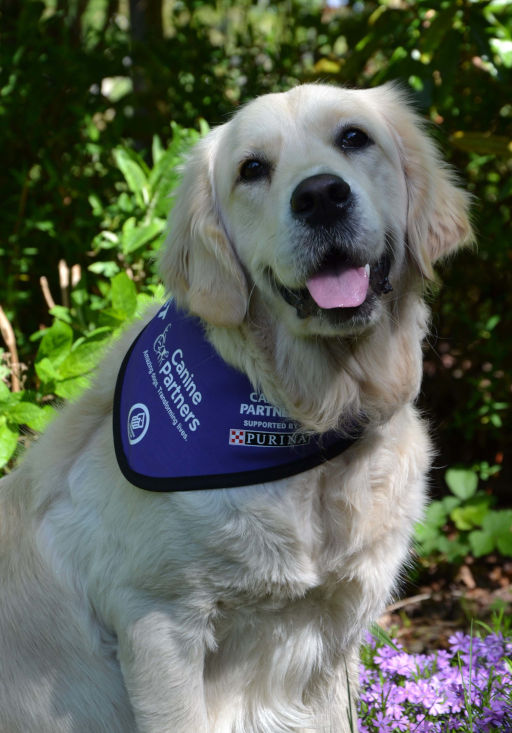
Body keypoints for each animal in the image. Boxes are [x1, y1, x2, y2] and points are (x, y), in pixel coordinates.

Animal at [0, 83, 472, 728]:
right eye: (252, 169)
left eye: (355, 137)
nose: (320, 196)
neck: (303, 423)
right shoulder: (157, 622)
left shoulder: (337, 627)